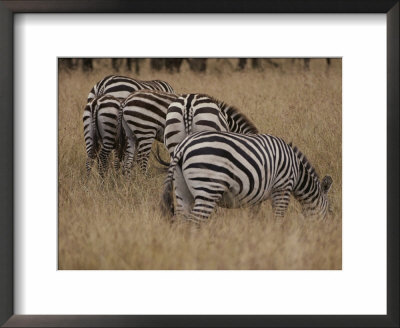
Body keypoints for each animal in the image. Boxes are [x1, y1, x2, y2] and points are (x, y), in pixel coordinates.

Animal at [161, 131, 332, 223]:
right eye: (330, 211)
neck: (297, 171)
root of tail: (183, 146)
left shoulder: (256, 195)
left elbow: (253, 216)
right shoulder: (282, 187)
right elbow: (278, 217)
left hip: (181, 188)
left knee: (182, 220)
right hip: (208, 188)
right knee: (195, 221)